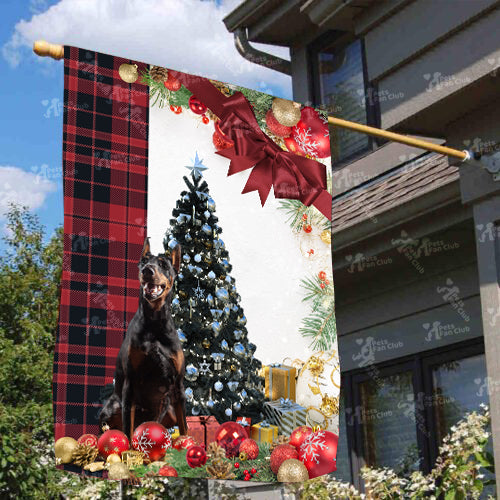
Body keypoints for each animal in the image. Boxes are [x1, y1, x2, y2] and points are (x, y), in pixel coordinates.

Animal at [99, 238, 188, 438]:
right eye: (144, 262)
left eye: (163, 264)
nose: (147, 270)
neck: (154, 323)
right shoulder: (130, 385)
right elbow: (127, 431)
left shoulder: (178, 386)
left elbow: (185, 427)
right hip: (113, 406)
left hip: (168, 408)